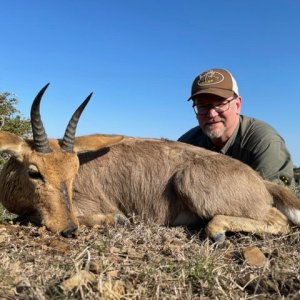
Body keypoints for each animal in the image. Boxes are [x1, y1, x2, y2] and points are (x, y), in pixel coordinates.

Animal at [0, 84, 300, 244]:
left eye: (74, 173)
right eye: (34, 172)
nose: (69, 228)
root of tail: (261, 182)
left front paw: (117, 219)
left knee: (279, 220)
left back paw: (216, 231)